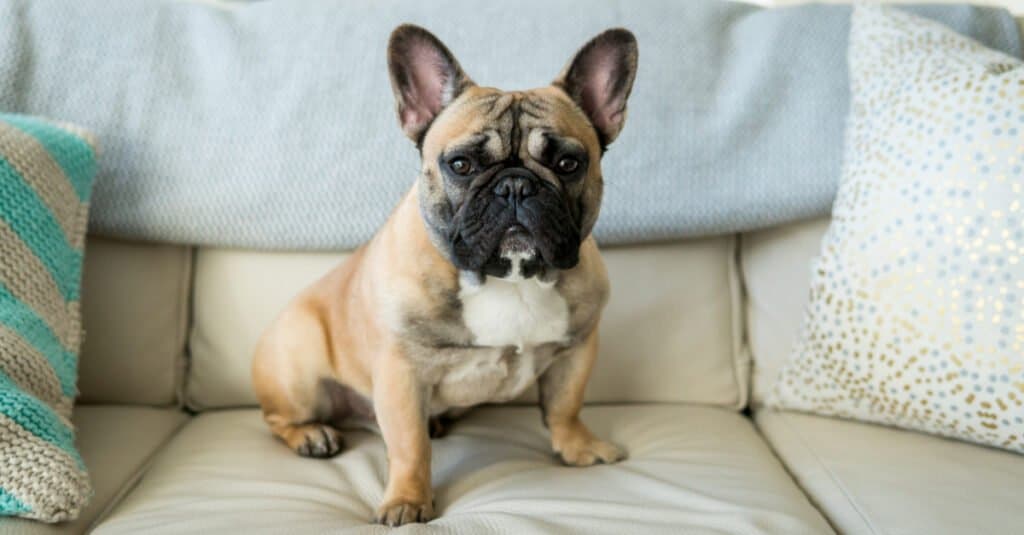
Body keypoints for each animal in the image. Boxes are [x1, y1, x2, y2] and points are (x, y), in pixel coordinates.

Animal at [248, 26, 634, 524]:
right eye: (461, 165)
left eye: (569, 164)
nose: (515, 185)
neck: (509, 277)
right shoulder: (402, 371)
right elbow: (410, 445)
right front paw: (408, 500)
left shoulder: (579, 347)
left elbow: (566, 405)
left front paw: (579, 447)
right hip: (297, 363)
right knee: (278, 418)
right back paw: (312, 435)